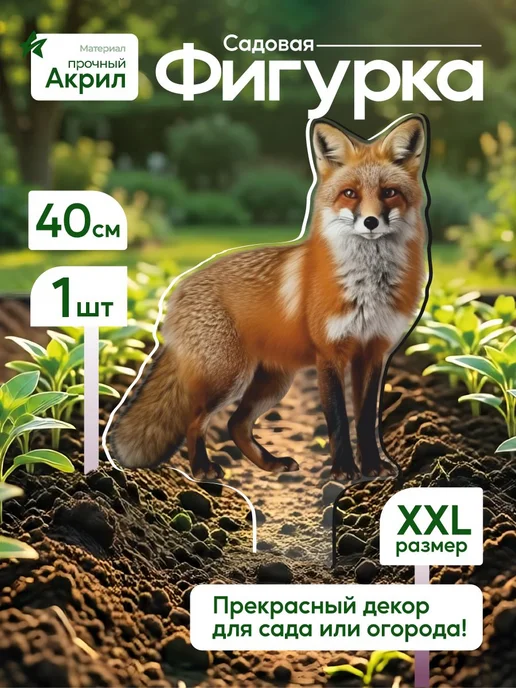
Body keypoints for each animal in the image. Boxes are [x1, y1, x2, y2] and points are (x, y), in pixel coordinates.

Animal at [110, 115, 428, 481]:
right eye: (350, 194)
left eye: (389, 193)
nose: (371, 221)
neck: (368, 287)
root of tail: (177, 290)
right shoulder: (330, 355)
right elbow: (337, 421)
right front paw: (344, 470)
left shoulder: (374, 353)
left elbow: (364, 421)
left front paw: (374, 467)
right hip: (229, 379)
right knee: (196, 421)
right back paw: (203, 469)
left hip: (274, 382)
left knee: (236, 424)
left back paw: (271, 463)